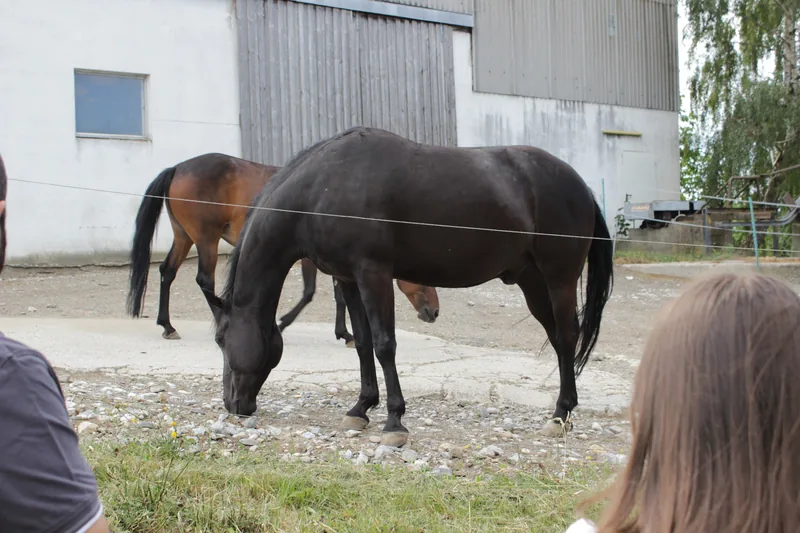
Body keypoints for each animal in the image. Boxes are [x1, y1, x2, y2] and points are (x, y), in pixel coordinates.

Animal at [125, 152, 440, 344]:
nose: (434, 312)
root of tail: (178, 167)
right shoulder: (312, 260)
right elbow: (309, 293)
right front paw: (284, 322)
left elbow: (337, 296)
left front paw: (344, 333)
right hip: (206, 240)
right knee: (204, 280)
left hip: (184, 237)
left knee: (167, 272)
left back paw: (167, 325)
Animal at [204, 126, 614, 446]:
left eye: (221, 339)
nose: (233, 404)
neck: (323, 188)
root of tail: (581, 186)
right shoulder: (348, 278)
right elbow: (363, 342)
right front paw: (360, 408)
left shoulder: (373, 273)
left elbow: (385, 345)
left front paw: (394, 422)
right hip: (532, 282)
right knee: (558, 337)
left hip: (559, 277)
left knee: (567, 336)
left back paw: (560, 415)